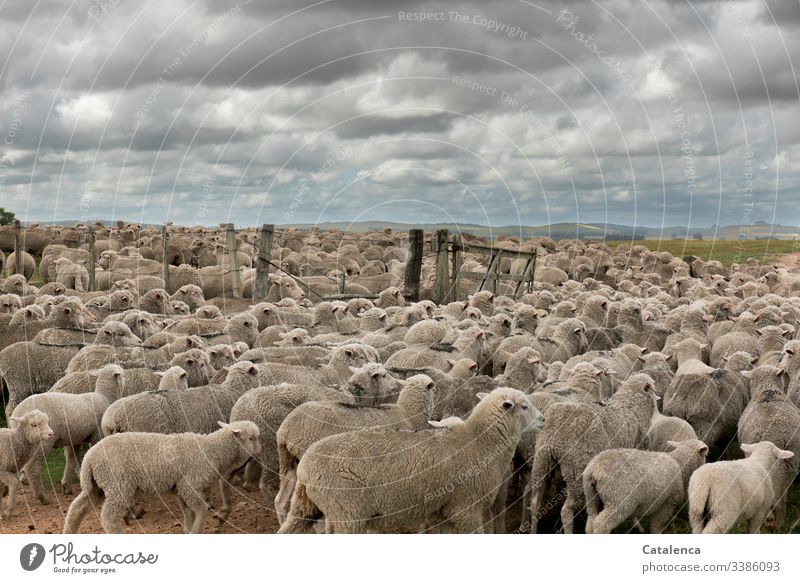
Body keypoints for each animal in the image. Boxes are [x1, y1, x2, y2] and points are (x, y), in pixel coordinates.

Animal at [10, 364, 126, 498]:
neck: (104, 396)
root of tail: (19, 414)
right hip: (42, 440)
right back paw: (41, 496)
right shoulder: (97, 435)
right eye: (122, 374)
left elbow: (72, 459)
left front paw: (67, 486)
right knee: (32, 467)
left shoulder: (75, 438)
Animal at [65, 420, 262, 532]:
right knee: (108, 516)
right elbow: (201, 510)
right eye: (252, 438)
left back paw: (69, 531)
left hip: (98, 486)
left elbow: (188, 514)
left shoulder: (180, 490)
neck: (213, 451)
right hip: (118, 484)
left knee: (77, 508)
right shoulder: (189, 486)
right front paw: (196, 530)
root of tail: (89, 457)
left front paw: (189, 530)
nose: (260, 450)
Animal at [580, 440, 708, 536]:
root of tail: (594, 469)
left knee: (590, 522)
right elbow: (656, 525)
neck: (679, 463)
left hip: (591, 497)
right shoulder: (667, 503)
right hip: (618, 500)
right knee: (601, 524)